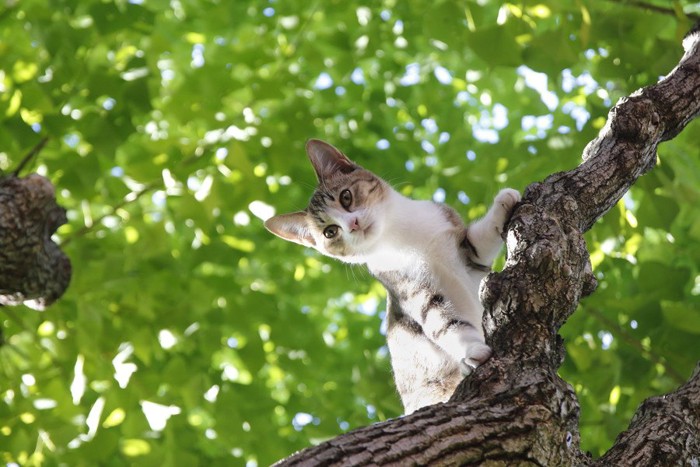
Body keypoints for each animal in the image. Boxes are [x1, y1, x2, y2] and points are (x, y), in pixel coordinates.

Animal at [266, 139, 524, 414]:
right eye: (330, 232)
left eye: (346, 197)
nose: (353, 224)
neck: (403, 236)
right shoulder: (414, 290)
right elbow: (444, 322)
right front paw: (471, 349)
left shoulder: (467, 256)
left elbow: (478, 241)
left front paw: (503, 202)